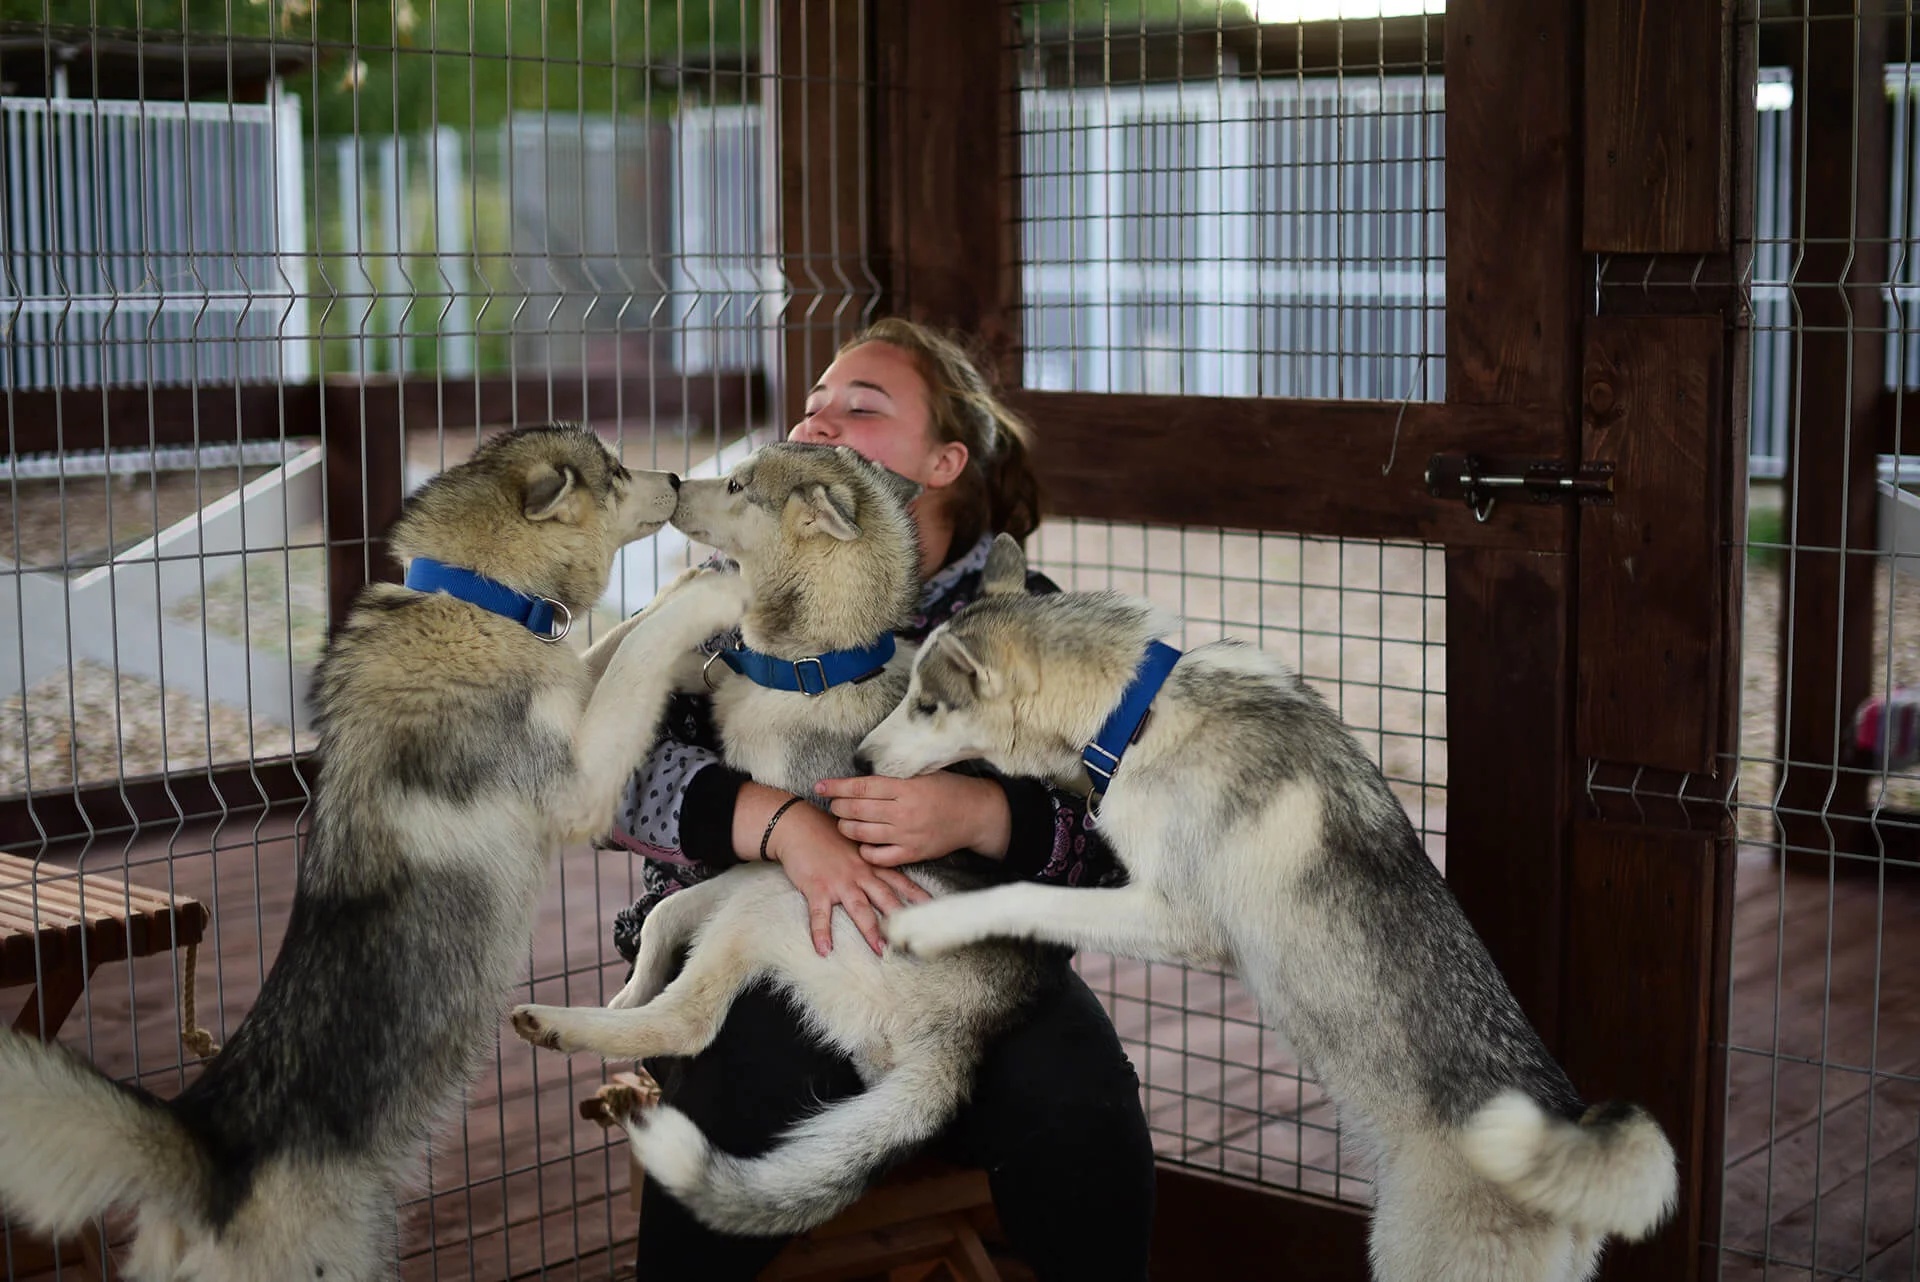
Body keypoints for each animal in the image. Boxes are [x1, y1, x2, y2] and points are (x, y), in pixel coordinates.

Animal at [0, 427, 752, 1282]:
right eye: (617, 470)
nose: (674, 477)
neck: (476, 597)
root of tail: (212, 1153)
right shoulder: (580, 786)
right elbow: (639, 646)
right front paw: (708, 594)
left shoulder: (576, 694)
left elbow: (619, 640)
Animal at [506, 445, 1052, 1235]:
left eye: (736, 484)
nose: (675, 482)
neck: (809, 671)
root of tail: (972, 1034)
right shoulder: (757, 856)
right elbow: (665, 913)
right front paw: (631, 988)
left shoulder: (787, 856)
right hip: (774, 903)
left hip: (776, 903)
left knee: (690, 1022)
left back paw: (555, 1024)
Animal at [860, 529, 1681, 1282]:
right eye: (908, 693)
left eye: (927, 705)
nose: (861, 759)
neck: (1138, 713)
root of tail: (1566, 1130)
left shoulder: (1176, 918)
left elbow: (1026, 893)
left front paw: (928, 925)